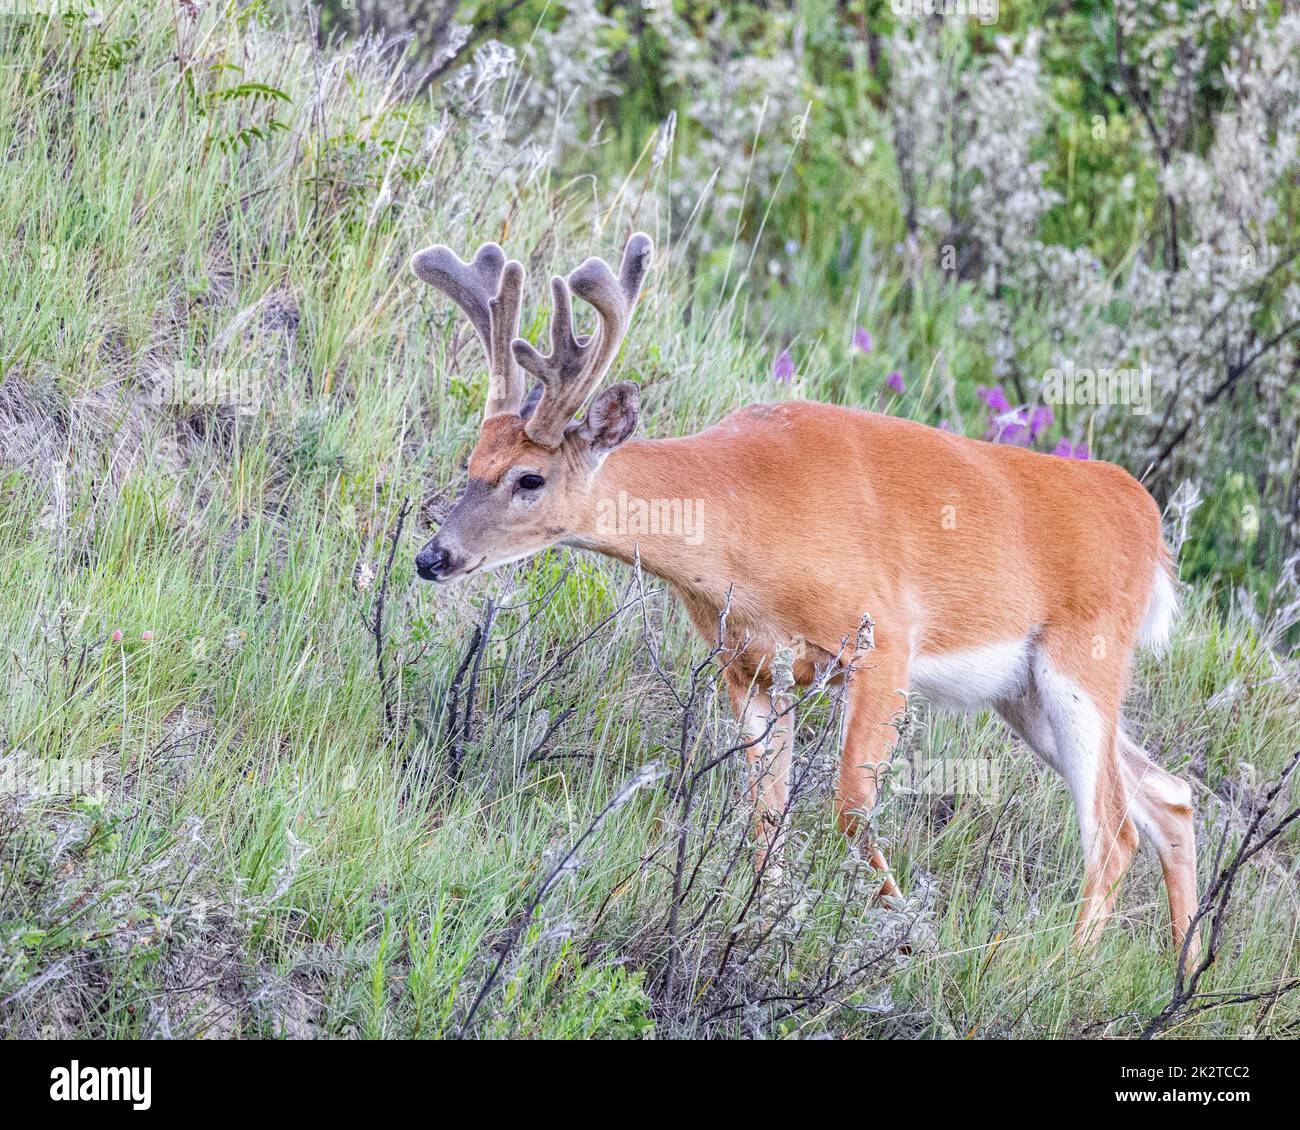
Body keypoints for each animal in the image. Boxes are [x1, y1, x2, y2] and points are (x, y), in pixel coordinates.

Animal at [409, 231, 1200, 968]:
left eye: (530, 478)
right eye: (472, 462)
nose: (431, 556)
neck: (745, 521)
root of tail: (1146, 520)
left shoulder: (885, 638)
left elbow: (850, 809)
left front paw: (905, 937)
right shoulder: (749, 668)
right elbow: (766, 815)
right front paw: (766, 926)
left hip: (1083, 656)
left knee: (1114, 828)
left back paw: (1067, 965)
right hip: (1024, 693)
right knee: (1170, 796)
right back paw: (1185, 976)